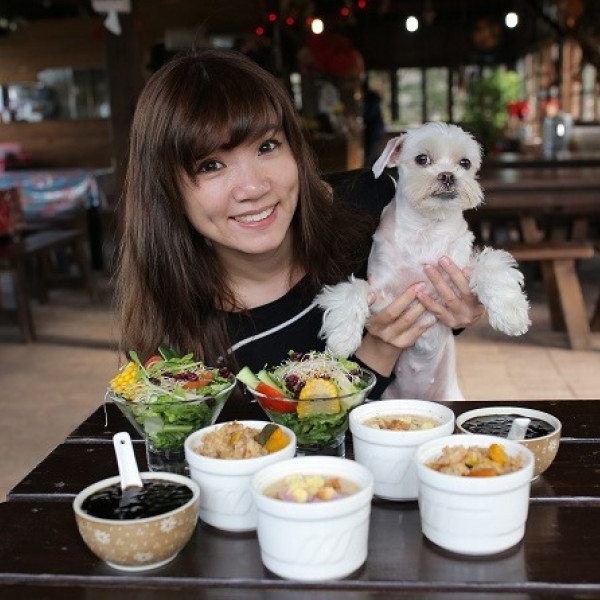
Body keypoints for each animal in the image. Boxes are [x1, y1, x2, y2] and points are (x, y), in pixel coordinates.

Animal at [316, 122, 530, 401]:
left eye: (465, 162)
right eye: (422, 159)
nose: (448, 175)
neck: (425, 230)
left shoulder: (458, 274)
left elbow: (491, 268)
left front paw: (511, 314)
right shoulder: (382, 297)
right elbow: (355, 289)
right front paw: (342, 338)